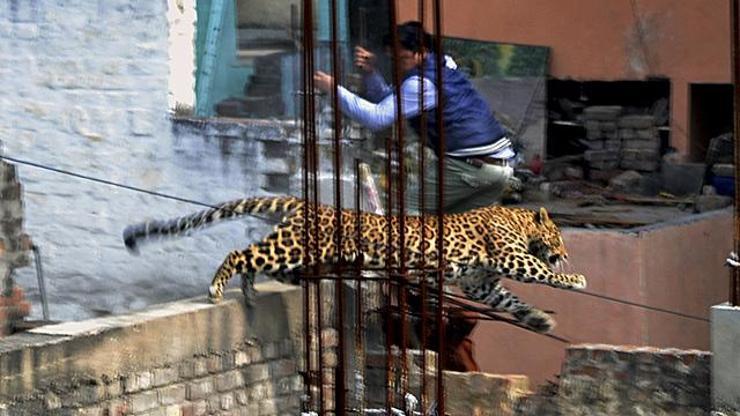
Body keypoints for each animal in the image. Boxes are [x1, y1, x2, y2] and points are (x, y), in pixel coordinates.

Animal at [123, 197, 584, 334]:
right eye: (560, 239)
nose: (566, 252)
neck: (519, 219)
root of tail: (305, 203)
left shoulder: (480, 283)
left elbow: (511, 300)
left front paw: (539, 319)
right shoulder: (512, 256)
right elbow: (543, 273)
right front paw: (575, 277)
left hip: (297, 256)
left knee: (255, 256)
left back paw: (250, 291)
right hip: (295, 247)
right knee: (241, 252)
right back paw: (218, 288)